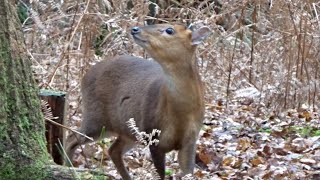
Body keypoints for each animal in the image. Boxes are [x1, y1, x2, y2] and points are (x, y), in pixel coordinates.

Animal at [66, 23, 211, 179]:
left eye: (169, 30)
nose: (135, 29)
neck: (181, 115)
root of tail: (84, 76)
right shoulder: (153, 135)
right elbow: (160, 175)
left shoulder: (190, 141)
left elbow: (188, 172)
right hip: (96, 118)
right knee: (72, 138)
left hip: (127, 131)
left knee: (113, 150)